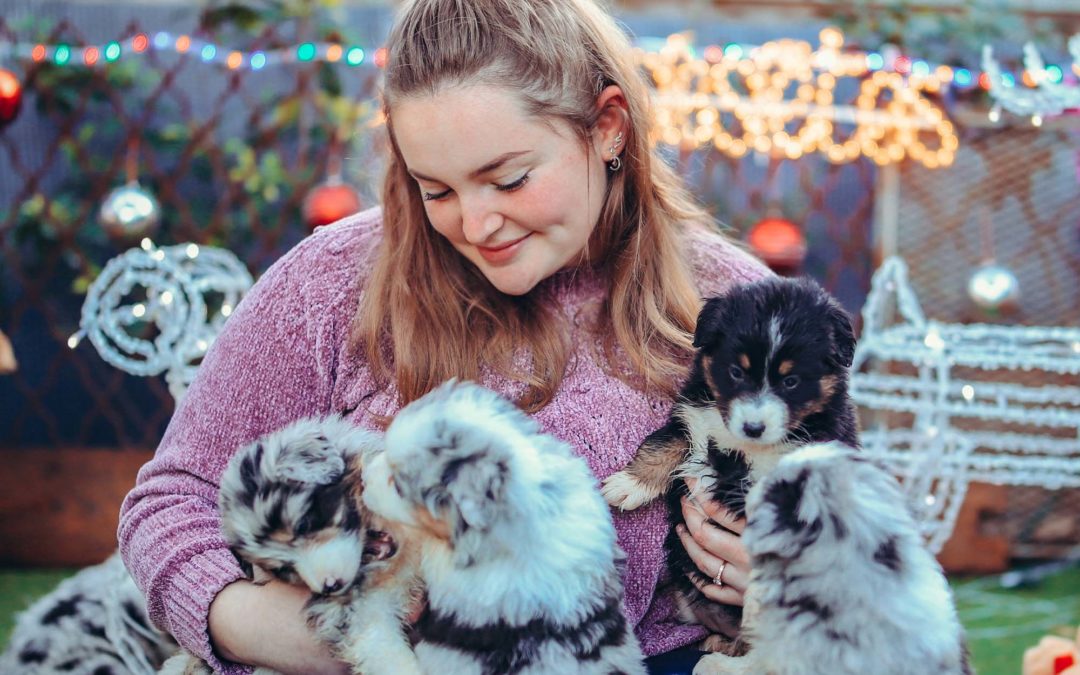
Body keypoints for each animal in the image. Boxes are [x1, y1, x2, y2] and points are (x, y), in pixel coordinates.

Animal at [600, 276, 859, 652]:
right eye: (736, 371)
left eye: (791, 381)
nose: (753, 427)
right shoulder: (693, 417)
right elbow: (662, 443)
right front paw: (629, 484)